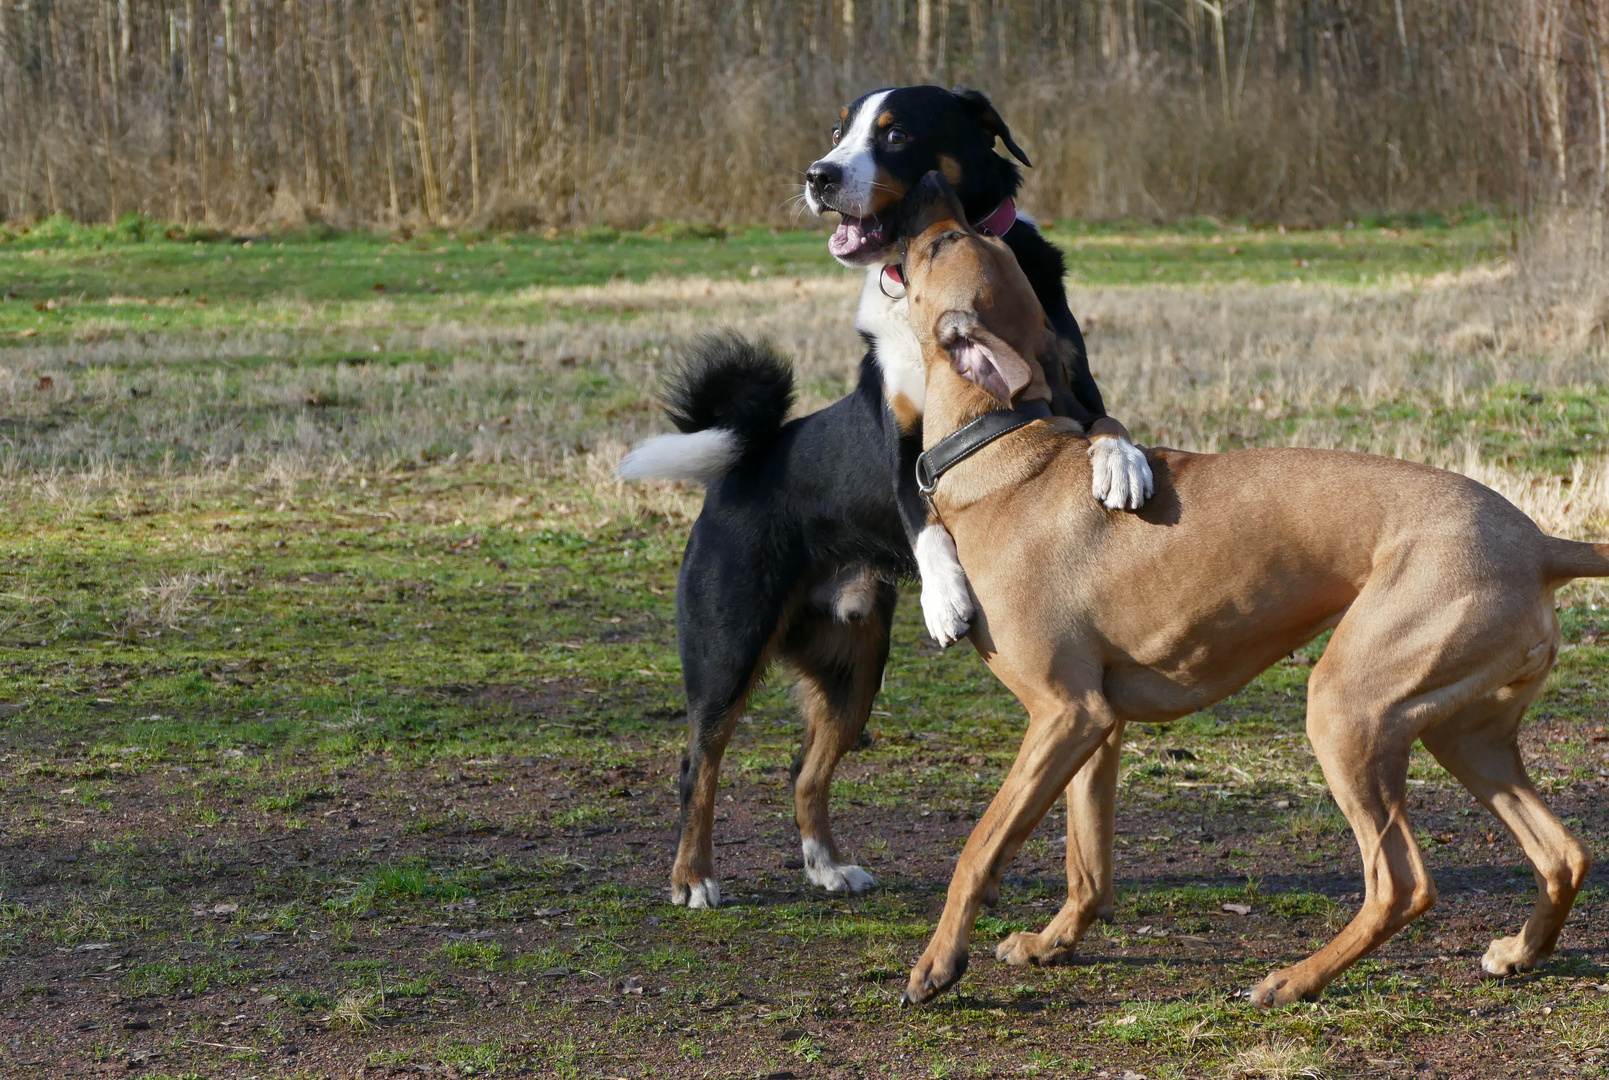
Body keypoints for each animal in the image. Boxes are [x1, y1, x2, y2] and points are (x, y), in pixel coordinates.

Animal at [621, 86, 1152, 914]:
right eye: (839, 131)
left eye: (896, 133)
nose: (819, 174)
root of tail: (741, 465)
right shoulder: (903, 444)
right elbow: (923, 519)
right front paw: (946, 596)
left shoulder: (1071, 387)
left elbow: (1108, 425)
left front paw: (1121, 466)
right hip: (726, 650)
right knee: (696, 765)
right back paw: (694, 876)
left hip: (853, 668)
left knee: (804, 770)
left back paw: (827, 864)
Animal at [901, 173, 1602, 1010]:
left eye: (943, 243)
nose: (935, 189)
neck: (1005, 456)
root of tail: (1536, 544)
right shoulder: (1094, 725)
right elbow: (1088, 865)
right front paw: (1051, 943)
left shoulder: (1063, 714)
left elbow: (979, 848)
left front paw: (938, 963)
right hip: (1463, 732)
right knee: (1562, 853)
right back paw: (1520, 952)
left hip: (1346, 708)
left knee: (1400, 883)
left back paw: (1294, 980)